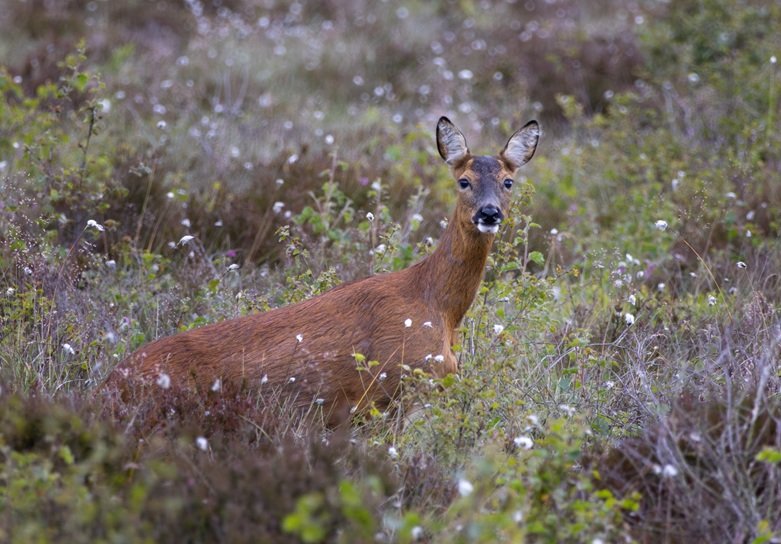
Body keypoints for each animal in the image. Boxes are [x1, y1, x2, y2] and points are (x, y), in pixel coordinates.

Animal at [103, 116, 540, 426]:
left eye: (508, 182)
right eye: (463, 180)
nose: (489, 213)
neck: (439, 308)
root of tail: (107, 386)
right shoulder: (396, 386)